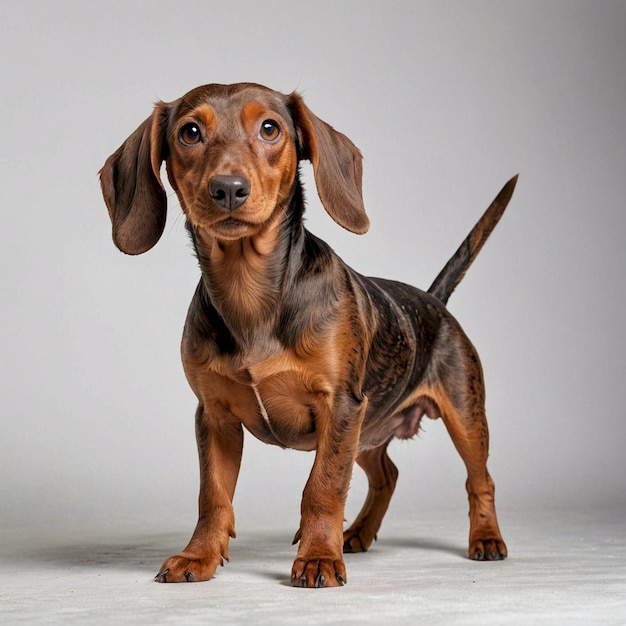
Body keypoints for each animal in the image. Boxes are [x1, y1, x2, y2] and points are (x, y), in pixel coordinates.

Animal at [100, 81, 516, 584]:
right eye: (190, 132)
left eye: (269, 128)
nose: (228, 189)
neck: (249, 292)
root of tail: (434, 302)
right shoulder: (215, 416)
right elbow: (213, 496)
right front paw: (198, 556)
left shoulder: (340, 406)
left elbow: (324, 485)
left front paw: (318, 556)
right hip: (369, 426)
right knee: (387, 475)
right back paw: (357, 533)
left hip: (462, 414)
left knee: (480, 479)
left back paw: (485, 538)